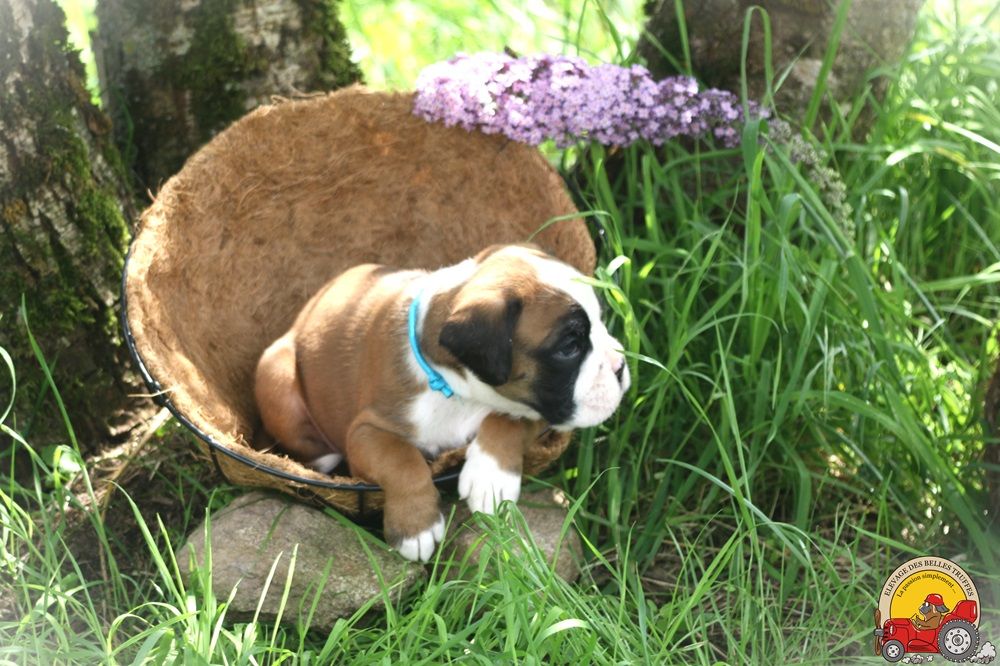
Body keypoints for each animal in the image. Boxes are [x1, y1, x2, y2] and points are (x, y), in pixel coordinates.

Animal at [254, 243, 630, 561]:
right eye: (569, 347)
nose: (622, 366)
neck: (459, 393)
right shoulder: (365, 432)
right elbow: (401, 459)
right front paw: (415, 527)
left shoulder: (542, 405)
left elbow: (507, 418)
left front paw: (491, 477)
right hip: (277, 372)